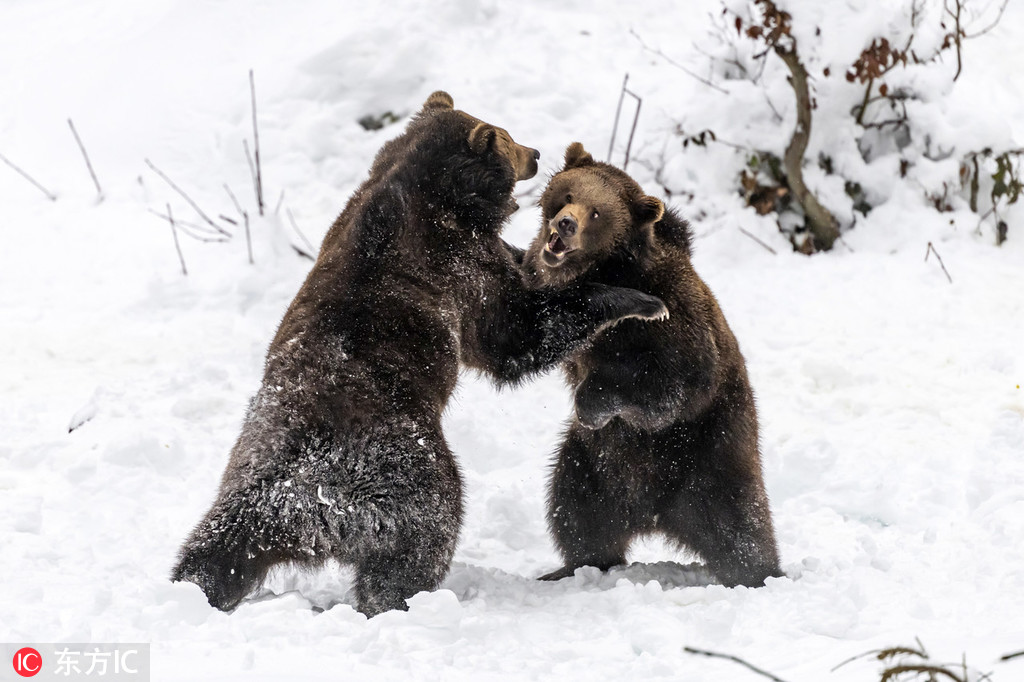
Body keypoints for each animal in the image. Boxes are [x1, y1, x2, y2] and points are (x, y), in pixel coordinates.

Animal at [168, 93, 667, 614]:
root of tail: (303, 502)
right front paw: (638, 299)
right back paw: (405, 599)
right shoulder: (458, 267)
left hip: (244, 486)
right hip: (403, 471)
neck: (432, 194)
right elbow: (515, 333)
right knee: (425, 533)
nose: (534, 153)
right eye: (509, 139)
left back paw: (192, 588)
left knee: (215, 550)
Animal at [520, 142, 782, 585]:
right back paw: (572, 566)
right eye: (569, 193)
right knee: (574, 506)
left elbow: (675, 382)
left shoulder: (673, 321)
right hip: (593, 465)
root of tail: (654, 517)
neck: (608, 269)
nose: (566, 224)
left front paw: (591, 404)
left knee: (739, 526)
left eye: (597, 212)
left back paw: (761, 573)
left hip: (709, 457)